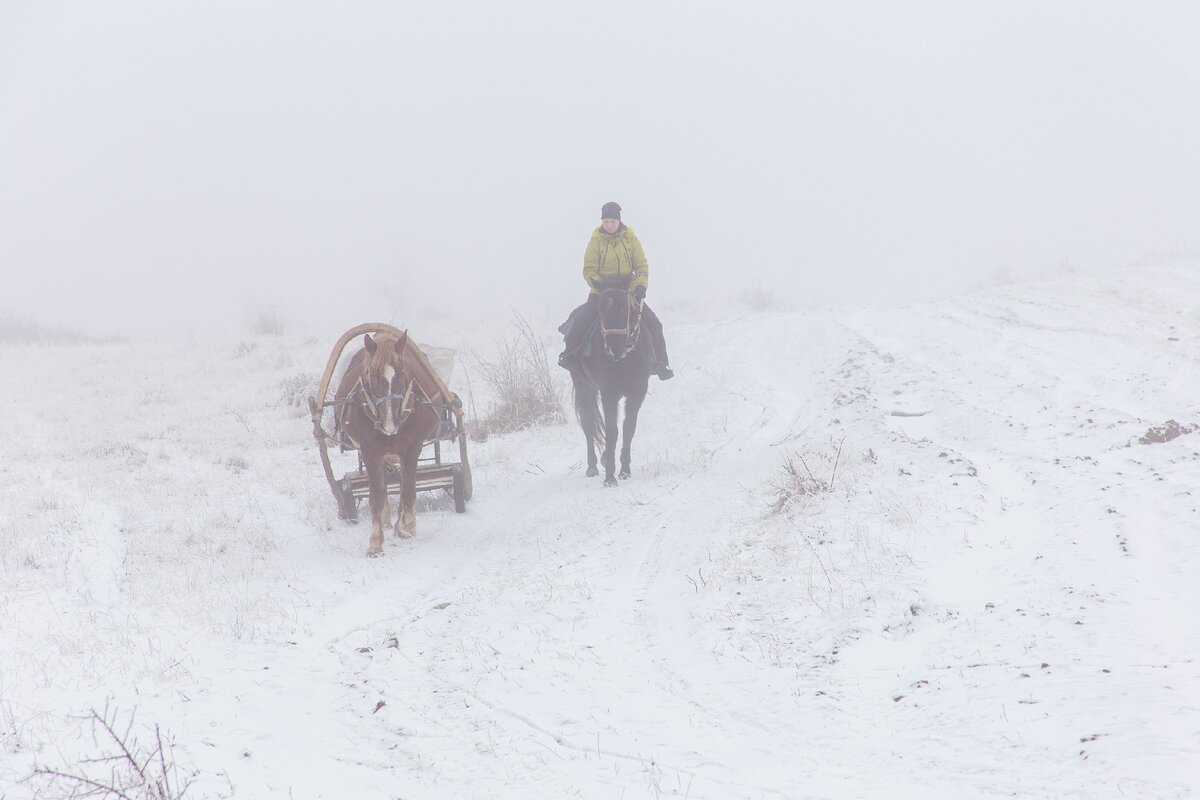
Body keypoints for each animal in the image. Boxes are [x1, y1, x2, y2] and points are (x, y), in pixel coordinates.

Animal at [333, 331, 441, 556]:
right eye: (372, 375)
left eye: (402, 372)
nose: (389, 423)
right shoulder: (370, 451)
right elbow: (376, 494)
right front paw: (375, 543)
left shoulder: (412, 448)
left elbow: (407, 489)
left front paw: (406, 526)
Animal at [566, 275, 652, 489]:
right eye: (601, 311)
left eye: (624, 309)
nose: (615, 349)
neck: (624, 359)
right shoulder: (608, 393)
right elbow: (612, 431)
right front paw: (610, 477)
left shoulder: (637, 393)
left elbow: (628, 428)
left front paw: (625, 471)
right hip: (584, 387)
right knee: (589, 425)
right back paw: (592, 467)